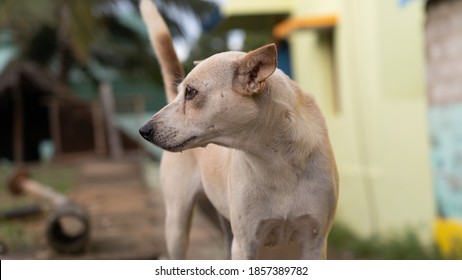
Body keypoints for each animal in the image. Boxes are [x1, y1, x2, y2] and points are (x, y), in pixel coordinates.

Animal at [139, 0, 338, 260]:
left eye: (191, 92)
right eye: (184, 91)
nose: (144, 131)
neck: (277, 162)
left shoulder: (314, 242)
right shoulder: (245, 244)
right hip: (177, 224)